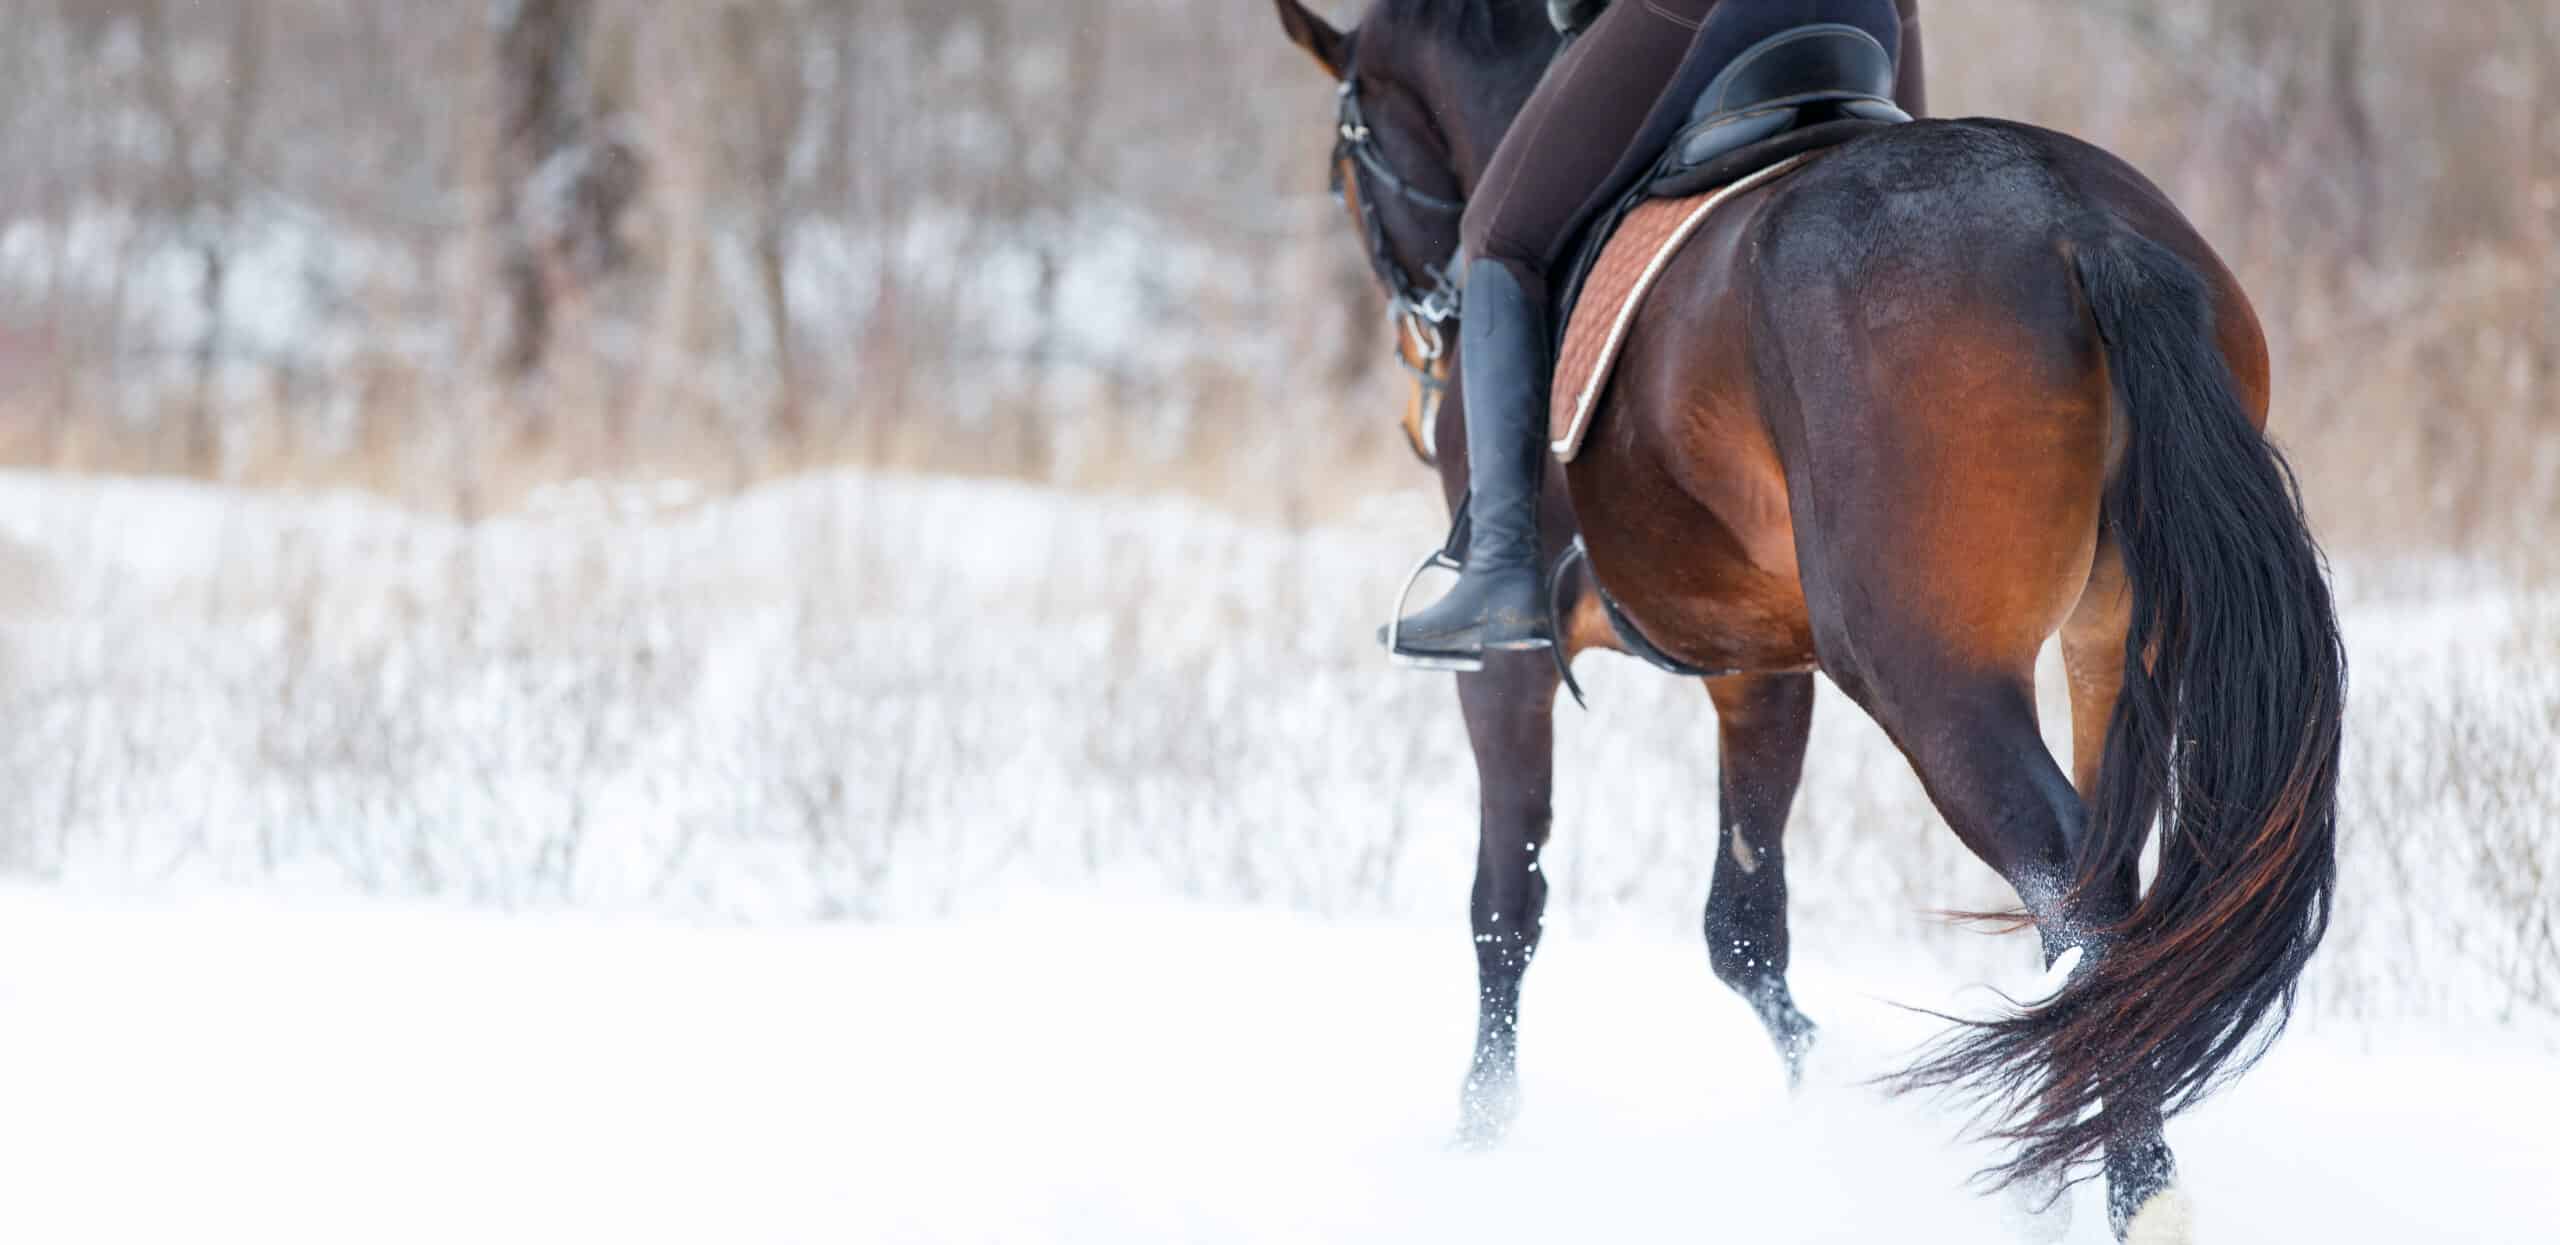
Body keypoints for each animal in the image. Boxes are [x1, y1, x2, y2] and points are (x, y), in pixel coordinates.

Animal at [1272, 2, 2344, 1239]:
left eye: (1348, 155)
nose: (1419, 348)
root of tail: (2080, 228)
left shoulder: (1509, 669)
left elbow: (1507, 904)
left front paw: (1478, 1142)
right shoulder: (1755, 664)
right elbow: (1742, 928)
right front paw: (1820, 1110)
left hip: (1924, 675)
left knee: (2080, 907)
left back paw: (2138, 1191)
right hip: (2108, 648)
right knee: (2116, 901)